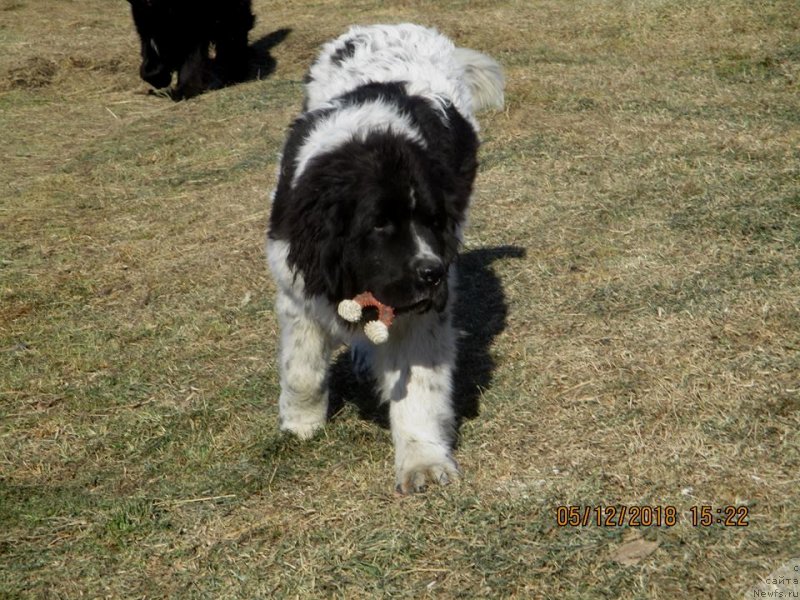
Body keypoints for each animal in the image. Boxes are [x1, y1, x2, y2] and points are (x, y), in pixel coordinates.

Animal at [268, 23, 506, 492]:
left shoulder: (422, 311)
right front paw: (301, 424)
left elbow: (419, 388)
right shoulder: (296, 281)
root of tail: (397, 26)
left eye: (433, 221)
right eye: (379, 225)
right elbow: (302, 368)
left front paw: (422, 460)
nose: (433, 274)